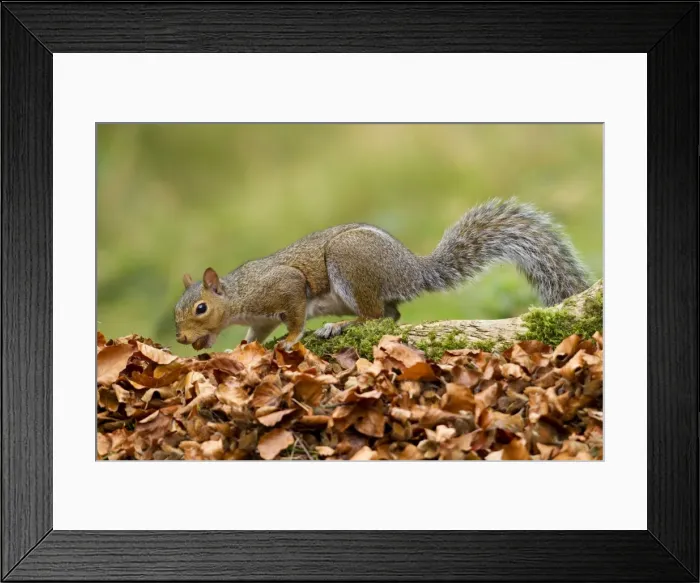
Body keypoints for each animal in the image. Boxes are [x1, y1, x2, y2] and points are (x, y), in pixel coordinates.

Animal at [174, 198, 590, 351]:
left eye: (200, 308)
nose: (180, 338)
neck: (238, 295)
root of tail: (412, 269)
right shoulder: (259, 318)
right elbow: (255, 334)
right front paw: (242, 348)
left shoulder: (284, 287)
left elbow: (294, 317)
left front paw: (291, 340)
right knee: (391, 315)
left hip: (350, 266)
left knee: (375, 316)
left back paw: (338, 326)